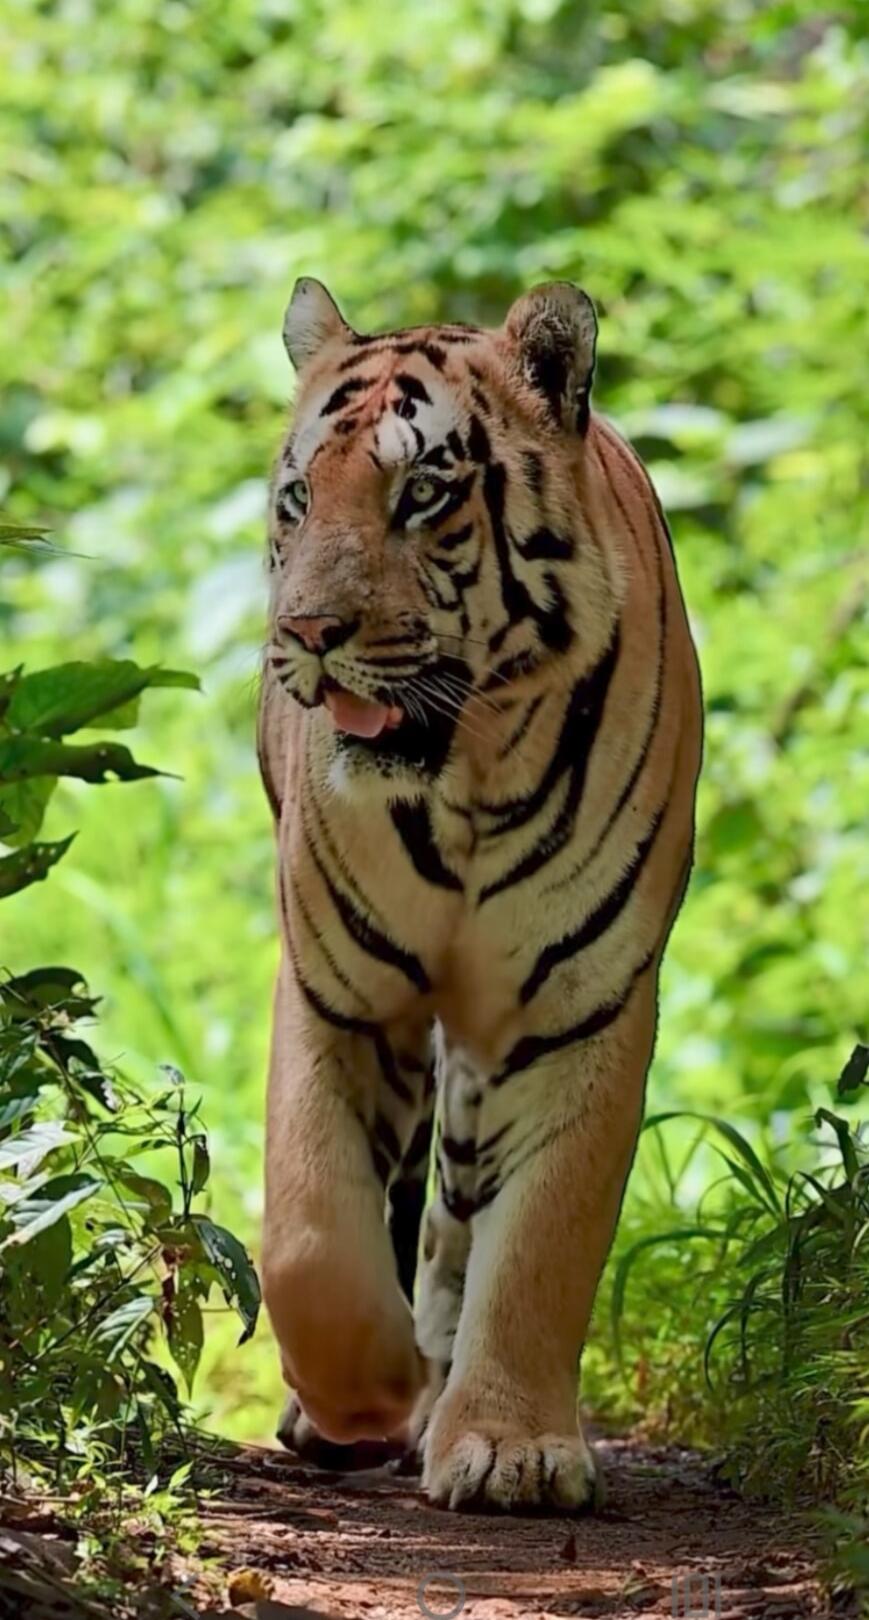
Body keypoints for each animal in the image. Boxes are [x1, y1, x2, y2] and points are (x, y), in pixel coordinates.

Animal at [258, 276, 702, 1513]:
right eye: (298, 498)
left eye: (421, 493)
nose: (305, 634)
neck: (465, 776)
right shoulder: (339, 992)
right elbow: (308, 1231)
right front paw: (361, 1394)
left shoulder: (579, 1008)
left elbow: (543, 1237)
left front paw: (506, 1447)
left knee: (458, 1220)